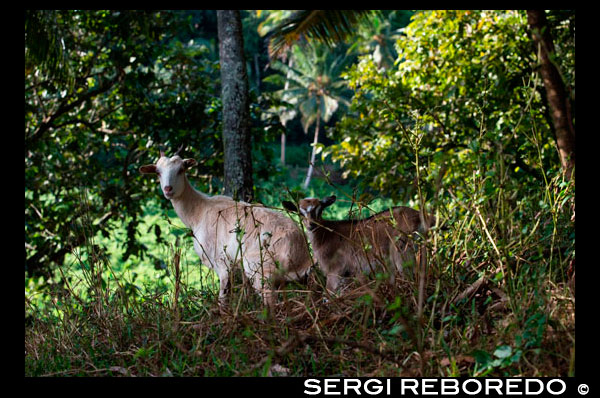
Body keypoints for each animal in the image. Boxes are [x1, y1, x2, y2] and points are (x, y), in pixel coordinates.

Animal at [139, 149, 312, 308]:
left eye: (181, 169)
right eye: (158, 172)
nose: (168, 189)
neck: (198, 211)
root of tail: (303, 257)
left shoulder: (220, 260)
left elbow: (223, 295)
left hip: (261, 270)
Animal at [284, 195, 434, 292]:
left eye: (319, 209)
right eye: (300, 212)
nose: (311, 225)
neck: (326, 234)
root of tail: (420, 216)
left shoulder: (335, 271)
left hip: (402, 250)